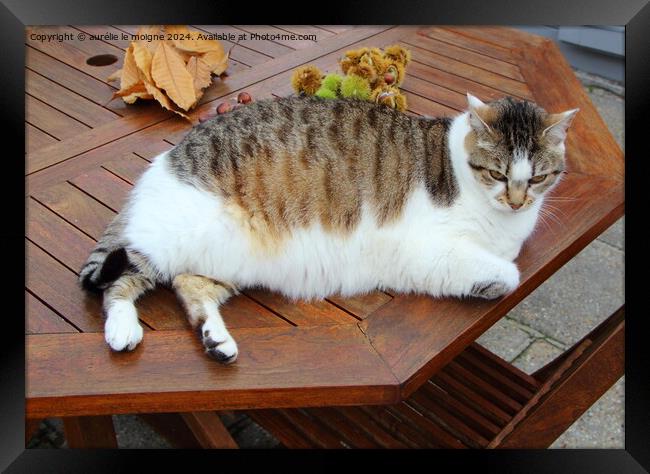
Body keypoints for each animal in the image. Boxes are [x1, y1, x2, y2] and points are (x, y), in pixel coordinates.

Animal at [78, 94, 576, 364]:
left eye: (537, 178)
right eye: (497, 174)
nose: (517, 200)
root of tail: (166, 158)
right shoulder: (428, 249)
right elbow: (509, 273)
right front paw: (493, 281)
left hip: (226, 259)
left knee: (189, 286)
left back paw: (215, 339)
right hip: (169, 236)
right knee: (117, 279)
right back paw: (123, 328)